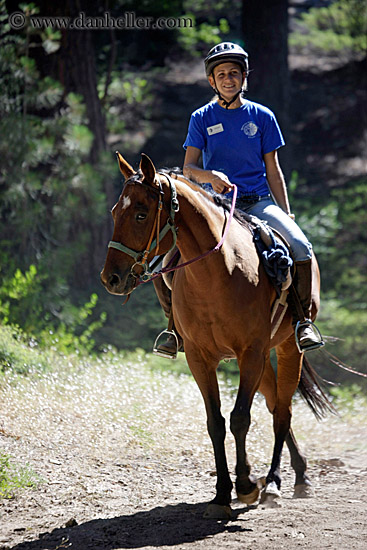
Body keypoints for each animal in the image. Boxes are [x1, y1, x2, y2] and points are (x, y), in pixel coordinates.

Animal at [100, 152, 330, 520]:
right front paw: (223, 491)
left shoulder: (250, 352)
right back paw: (294, 473)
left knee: (282, 410)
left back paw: (278, 482)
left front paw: (247, 486)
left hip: (285, 348)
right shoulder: (201, 358)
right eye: (113, 212)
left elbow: (239, 418)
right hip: (262, 359)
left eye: (141, 213)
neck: (218, 272)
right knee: (273, 404)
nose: (111, 278)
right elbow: (216, 423)